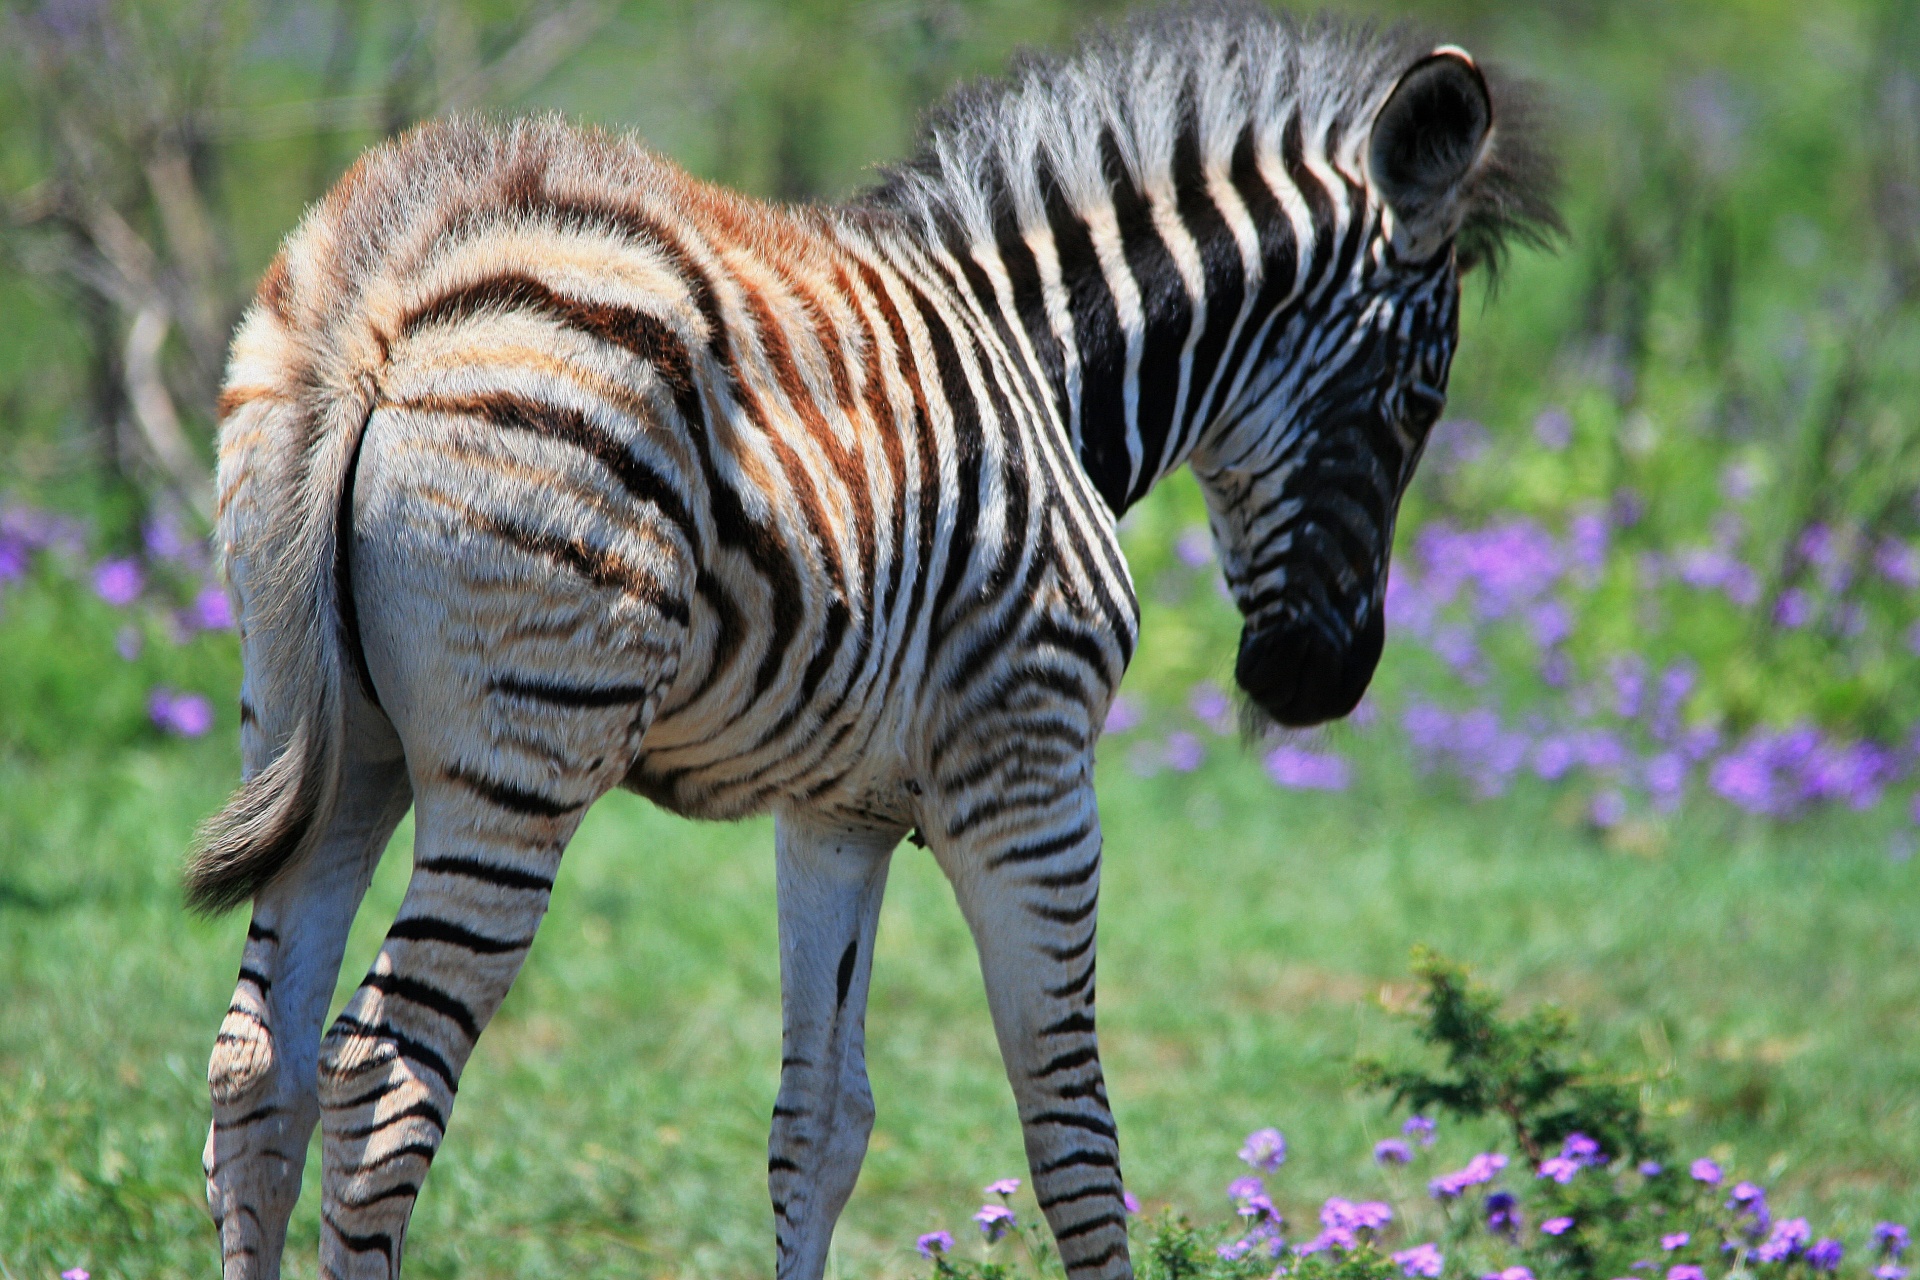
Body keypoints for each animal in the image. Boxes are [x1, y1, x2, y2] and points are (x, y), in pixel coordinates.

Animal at [187, 5, 1551, 1274]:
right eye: (1419, 400)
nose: (1317, 684)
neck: (1046, 365)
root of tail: (390, 283)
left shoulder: (838, 808)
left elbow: (821, 1119)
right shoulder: (1030, 772)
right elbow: (1072, 1124)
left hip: (317, 727)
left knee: (259, 1064)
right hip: (524, 751)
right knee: (381, 1076)